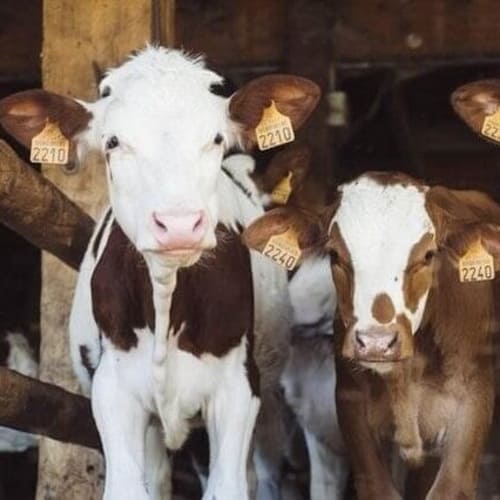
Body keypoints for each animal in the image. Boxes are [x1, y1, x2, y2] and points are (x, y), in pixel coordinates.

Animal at [0, 47, 320, 500]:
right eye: (113, 142)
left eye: (216, 139)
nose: (180, 224)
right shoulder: (113, 389)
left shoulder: (237, 389)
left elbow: (227, 486)